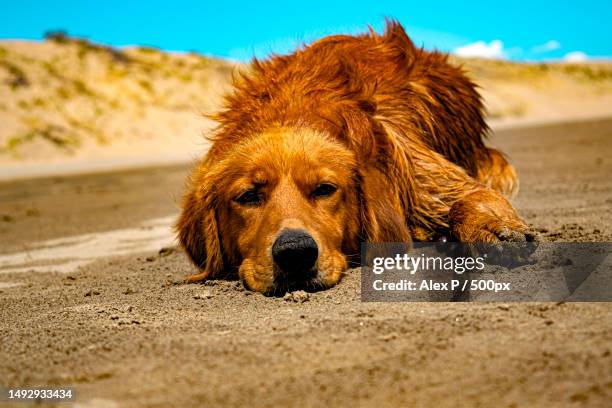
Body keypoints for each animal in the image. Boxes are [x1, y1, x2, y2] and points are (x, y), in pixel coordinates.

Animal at [177, 20, 536, 294]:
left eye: (324, 189)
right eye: (248, 196)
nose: (294, 253)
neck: (291, 111)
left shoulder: (415, 168)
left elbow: (469, 196)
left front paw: (494, 228)